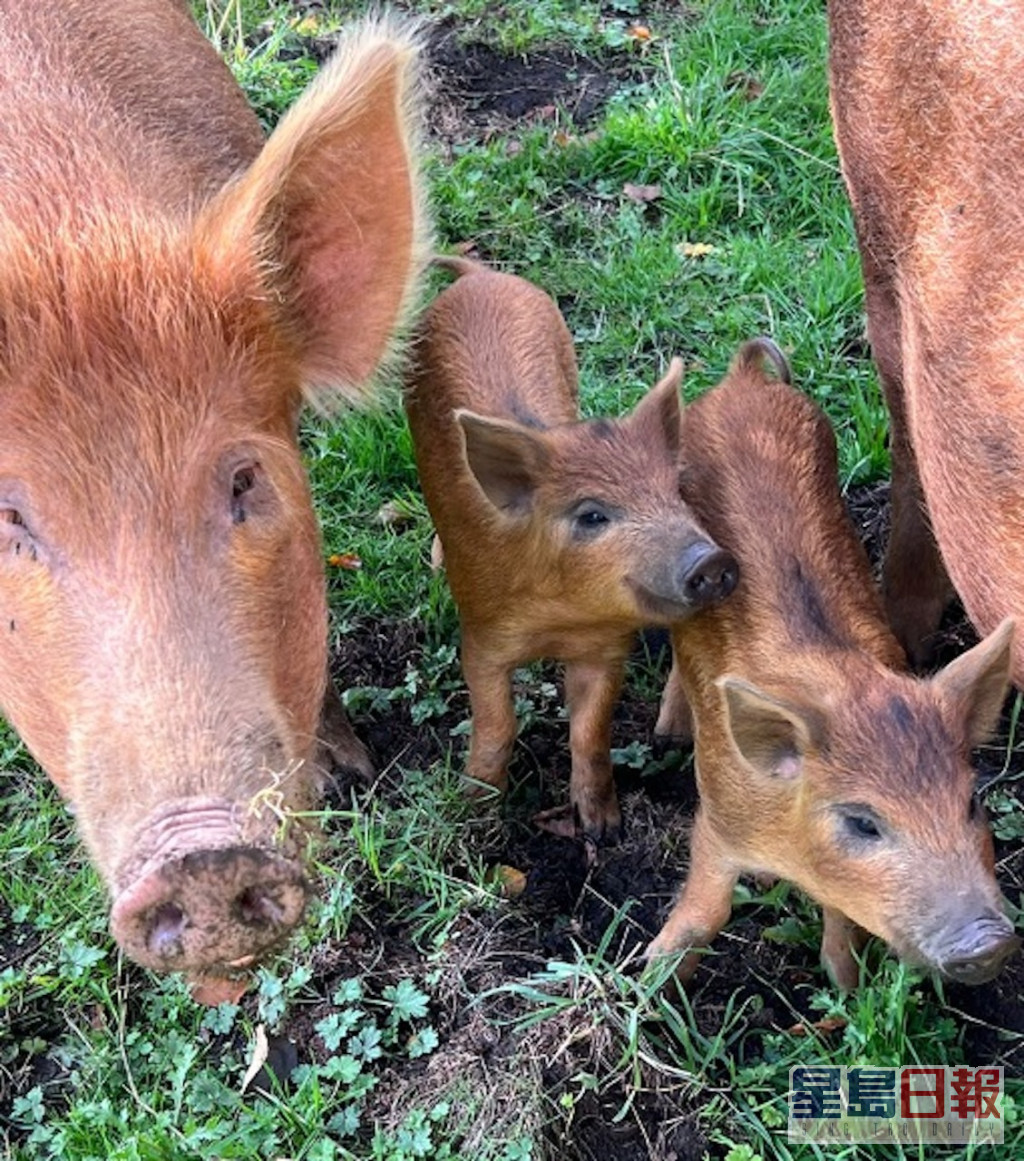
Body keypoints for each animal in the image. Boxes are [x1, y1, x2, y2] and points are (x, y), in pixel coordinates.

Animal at [404, 261, 733, 845]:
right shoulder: (482, 636)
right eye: (592, 516)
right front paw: (474, 809)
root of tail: (480, 275)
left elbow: (590, 731)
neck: (561, 617)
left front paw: (603, 832)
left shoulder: (605, 649)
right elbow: (497, 722)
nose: (710, 560)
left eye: (675, 493)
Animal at [645, 339, 1012, 989]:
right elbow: (706, 911)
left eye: (971, 802)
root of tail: (743, 381)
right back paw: (669, 733)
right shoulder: (717, 817)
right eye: (863, 822)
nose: (989, 942)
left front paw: (846, 987)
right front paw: (650, 976)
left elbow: (843, 926)